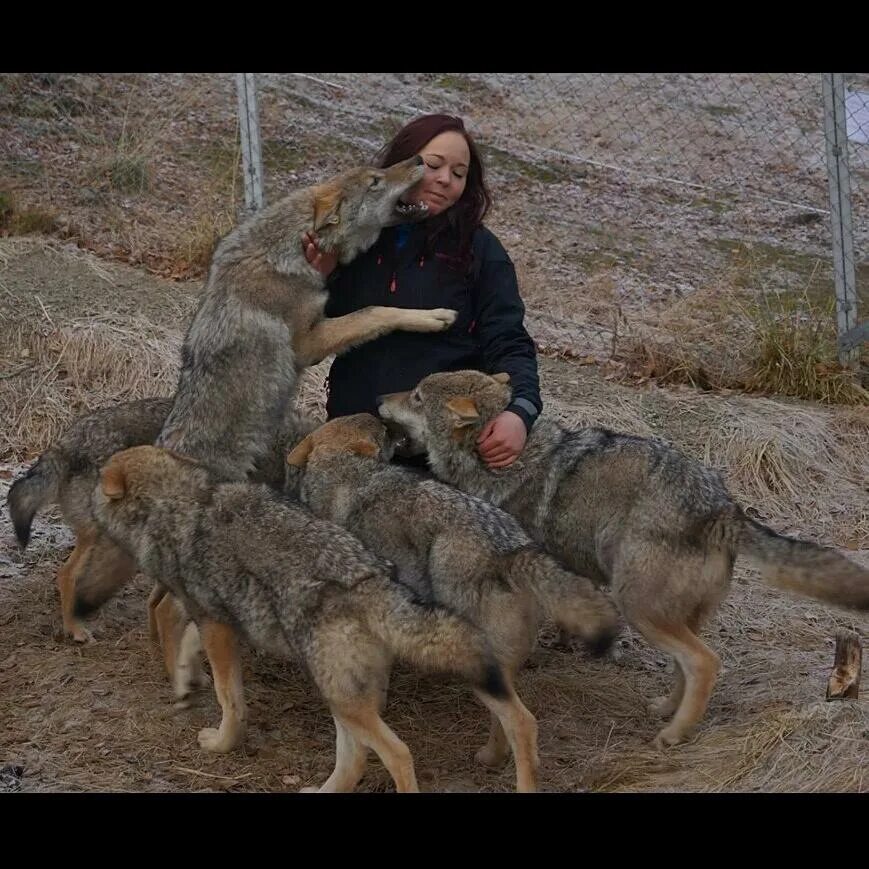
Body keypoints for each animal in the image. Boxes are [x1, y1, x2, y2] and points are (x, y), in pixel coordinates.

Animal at [284, 412, 616, 768]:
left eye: (384, 430)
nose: (389, 422)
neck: (340, 467)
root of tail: (511, 549)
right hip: (494, 669)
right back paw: (491, 756)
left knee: (522, 721)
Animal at [378, 368, 868, 744]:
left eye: (416, 395)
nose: (380, 398)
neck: (496, 459)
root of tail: (721, 506)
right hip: (672, 613)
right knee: (684, 664)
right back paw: (667, 709)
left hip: (637, 605)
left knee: (704, 662)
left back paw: (674, 734)